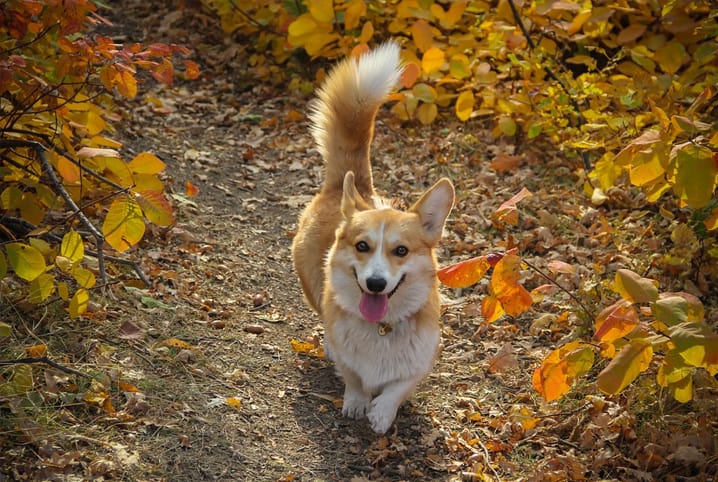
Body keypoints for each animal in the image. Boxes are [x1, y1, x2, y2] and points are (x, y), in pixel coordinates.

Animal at [292, 41, 456, 434]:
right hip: (311, 284)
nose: (377, 284)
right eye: (362, 246)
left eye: (401, 250)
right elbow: (353, 376)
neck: (381, 328)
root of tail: (350, 187)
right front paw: (356, 402)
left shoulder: (421, 360)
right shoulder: (350, 359)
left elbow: (399, 386)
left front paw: (382, 412)